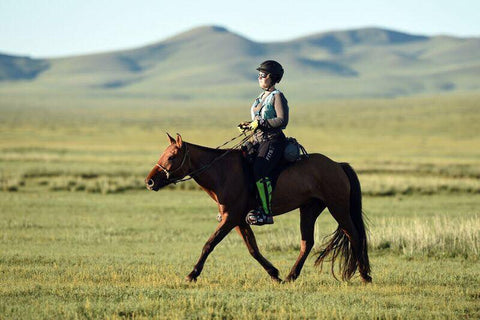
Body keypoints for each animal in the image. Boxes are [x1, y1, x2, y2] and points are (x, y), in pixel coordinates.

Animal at [145, 132, 372, 282]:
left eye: (172, 156)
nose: (149, 182)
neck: (221, 172)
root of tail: (338, 165)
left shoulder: (230, 218)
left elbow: (209, 244)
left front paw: (192, 274)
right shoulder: (238, 220)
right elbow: (253, 248)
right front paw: (274, 274)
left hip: (338, 207)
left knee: (354, 234)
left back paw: (364, 275)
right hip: (309, 209)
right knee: (307, 242)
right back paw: (291, 276)